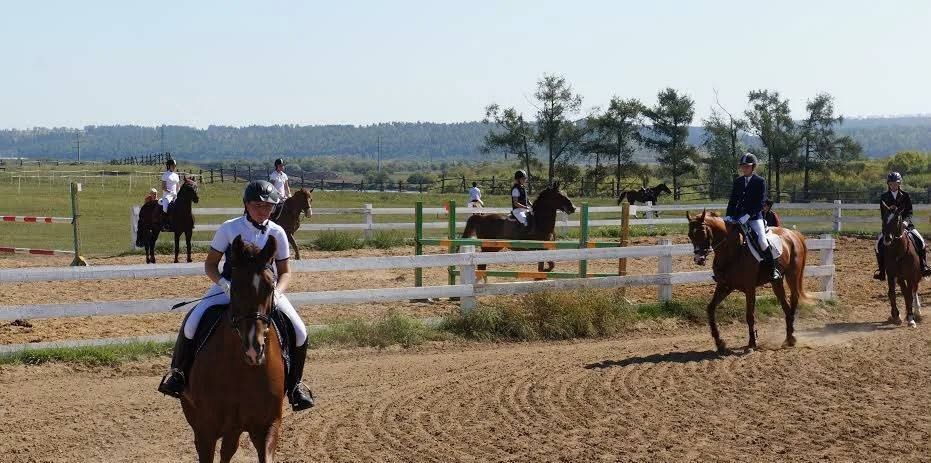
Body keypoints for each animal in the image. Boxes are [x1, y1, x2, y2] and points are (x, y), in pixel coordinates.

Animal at [180, 237, 286, 462]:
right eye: (235, 287)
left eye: (270, 287)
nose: (254, 349)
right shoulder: (206, 430)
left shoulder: (267, 425)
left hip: (235, 428)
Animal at [684, 212, 808, 354]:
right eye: (690, 235)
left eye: (703, 232)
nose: (698, 260)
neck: (732, 250)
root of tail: (793, 234)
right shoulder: (724, 286)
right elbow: (710, 309)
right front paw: (719, 342)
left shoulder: (750, 288)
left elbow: (750, 315)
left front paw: (752, 343)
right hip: (776, 282)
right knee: (786, 306)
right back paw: (789, 338)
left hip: (792, 275)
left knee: (794, 298)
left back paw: (791, 336)